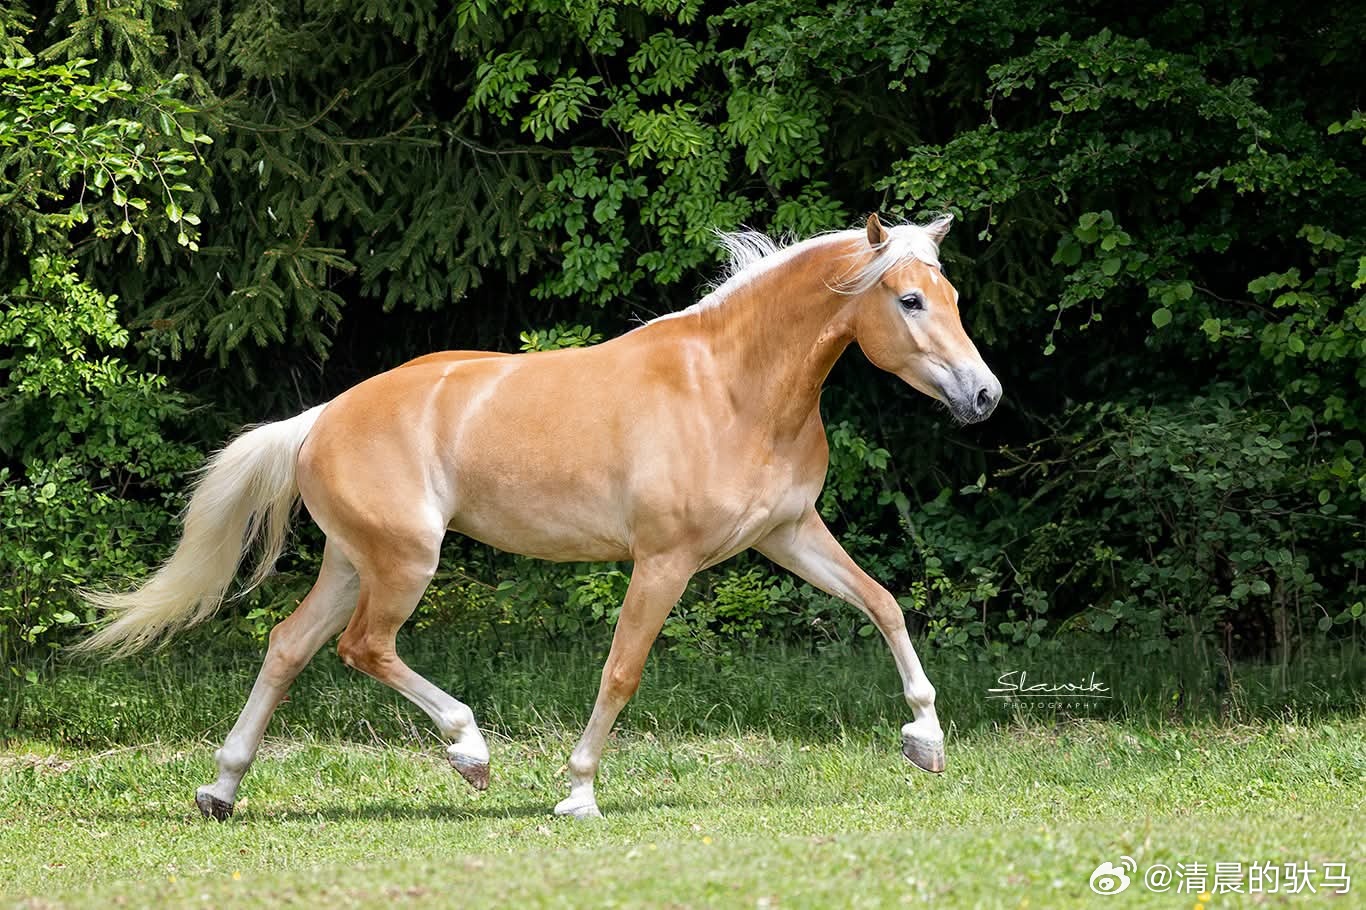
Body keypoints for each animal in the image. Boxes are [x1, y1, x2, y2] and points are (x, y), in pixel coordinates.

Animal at [80, 213, 1001, 820]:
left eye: (953, 294)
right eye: (910, 301)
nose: (985, 396)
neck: (732, 389)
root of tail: (320, 418)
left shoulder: (789, 534)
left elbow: (884, 603)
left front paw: (926, 739)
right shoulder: (663, 562)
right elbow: (621, 672)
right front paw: (579, 791)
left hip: (352, 562)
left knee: (287, 647)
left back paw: (221, 788)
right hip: (404, 563)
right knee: (363, 648)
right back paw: (470, 751)